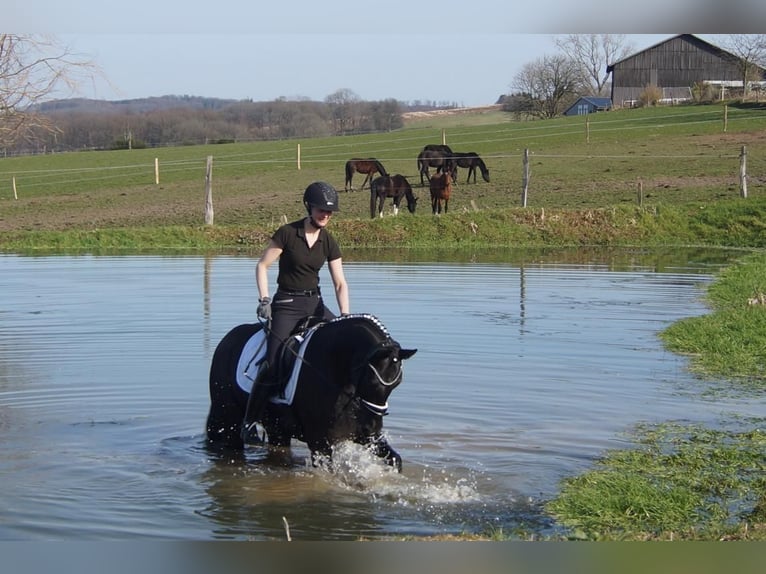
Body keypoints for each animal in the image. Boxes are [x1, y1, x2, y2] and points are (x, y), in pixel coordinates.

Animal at [205, 314, 417, 471]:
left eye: (397, 384)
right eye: (372, 382)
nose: (372, 427)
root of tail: (226, 341)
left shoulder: (364, 438)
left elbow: (396, 460)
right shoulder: (320, 443)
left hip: (277, 429)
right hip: (230, 418)